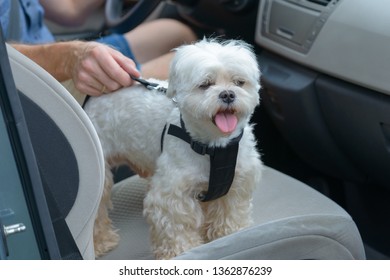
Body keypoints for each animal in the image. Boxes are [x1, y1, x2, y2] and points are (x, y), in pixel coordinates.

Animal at [84, 38, 262, 260]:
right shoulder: (172, 194)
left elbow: (231, 210)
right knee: (96, 211)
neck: (214, 146)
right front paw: (182, 251)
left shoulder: (238, 181)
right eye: (205, 85)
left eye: (239, 82)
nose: (228, 94)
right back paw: (100, 242)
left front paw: (231, 232)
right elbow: (176, 224)